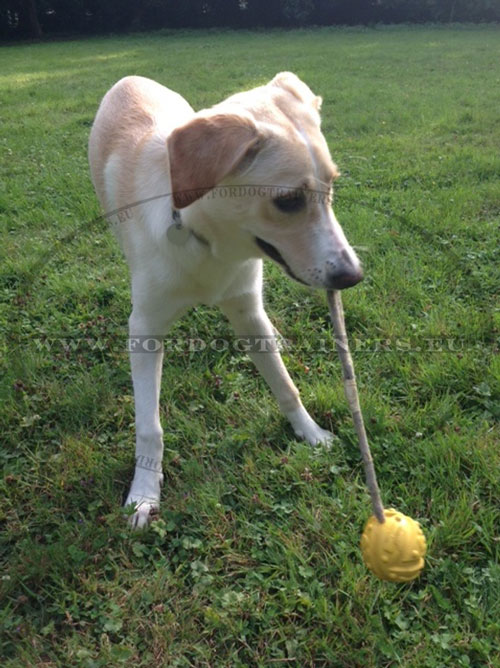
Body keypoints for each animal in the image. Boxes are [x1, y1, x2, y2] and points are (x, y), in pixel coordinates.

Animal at [89, 73, 364, 528]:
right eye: (288, 201)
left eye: (332, 186)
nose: (352, 276)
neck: (208, 243)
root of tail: (131, 78)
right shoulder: (145, 329)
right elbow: (149, 426)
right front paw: (144, 493)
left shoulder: (247, 310)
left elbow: (286, 386)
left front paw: (311, 434)